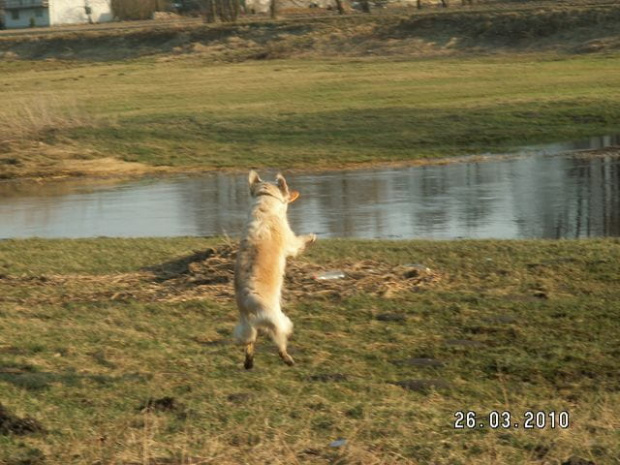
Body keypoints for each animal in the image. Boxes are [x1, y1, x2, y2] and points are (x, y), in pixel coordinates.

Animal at [235, 170, 318, 370]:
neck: (264, 202)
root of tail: (249, 301)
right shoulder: (291, 240)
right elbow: (299, 242)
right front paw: (311, 237)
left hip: (246, 326)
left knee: (249, 342)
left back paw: (249, 362)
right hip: (277, 321)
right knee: (279, 343)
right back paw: (288, 359)